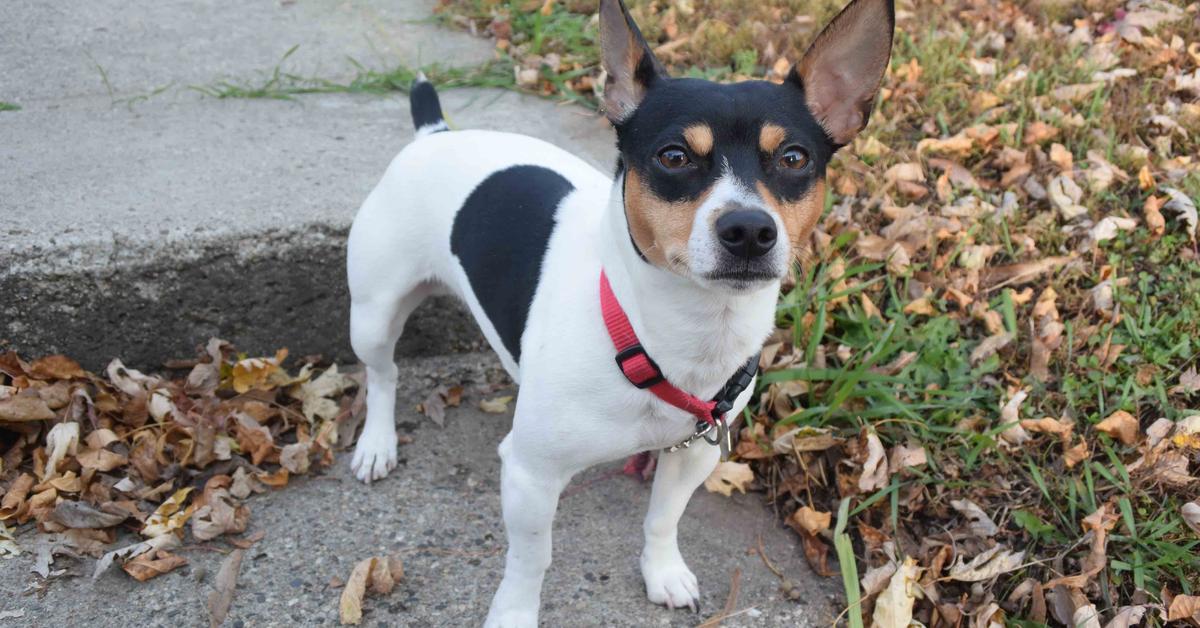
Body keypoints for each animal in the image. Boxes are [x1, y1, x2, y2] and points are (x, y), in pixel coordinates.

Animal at [348, 1, 892, 624]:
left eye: (794, 158)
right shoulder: (530, 476)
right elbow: (530, 560)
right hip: (373, 313)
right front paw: (514, 612)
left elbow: (663, 518)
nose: (750, 229)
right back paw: (377, 443)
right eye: (673, 157)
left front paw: (663, 572)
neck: (661, 333)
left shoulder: (692, 455)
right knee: (383, 374)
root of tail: (434, 135)